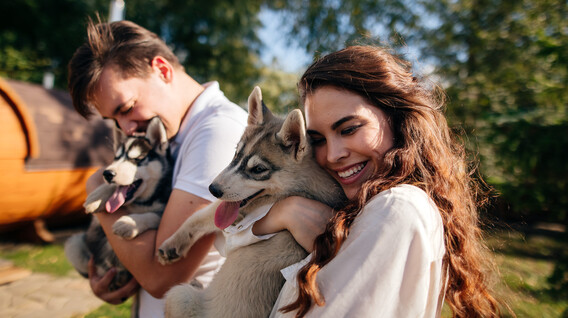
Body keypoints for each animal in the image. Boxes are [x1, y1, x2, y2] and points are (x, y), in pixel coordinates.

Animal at [65, 117, 173, 290]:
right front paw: (97, 197)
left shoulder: (162, 209)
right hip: (74, 244)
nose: (107, 174)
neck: (141, 202)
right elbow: (112, 189)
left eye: (136, 159)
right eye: (116, 158)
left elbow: (152, 215)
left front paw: (128, 223)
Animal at [156, 87, 346, 318]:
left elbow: (200, 215)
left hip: (179, 296)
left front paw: (173, 242)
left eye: (258, 169)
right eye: (236, 154)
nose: (213, 189)